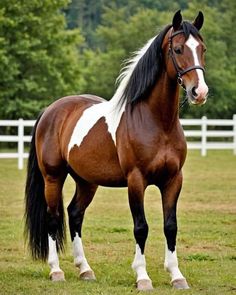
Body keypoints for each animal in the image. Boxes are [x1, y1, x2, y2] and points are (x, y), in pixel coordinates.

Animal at [24, 11, 208, 292]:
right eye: (178, 49)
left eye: (202, 49)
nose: (199, 92)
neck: (157, 122)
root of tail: (51, 110)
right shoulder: (136, 180)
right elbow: (141, 227)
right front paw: (142, 277)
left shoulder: (173, 180)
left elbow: (170, 226)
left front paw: (177, 276)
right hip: (52, 177)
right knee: (53, 217)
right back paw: (56, 270)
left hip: (87, 181)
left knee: (75, 214)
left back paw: (85, 269)